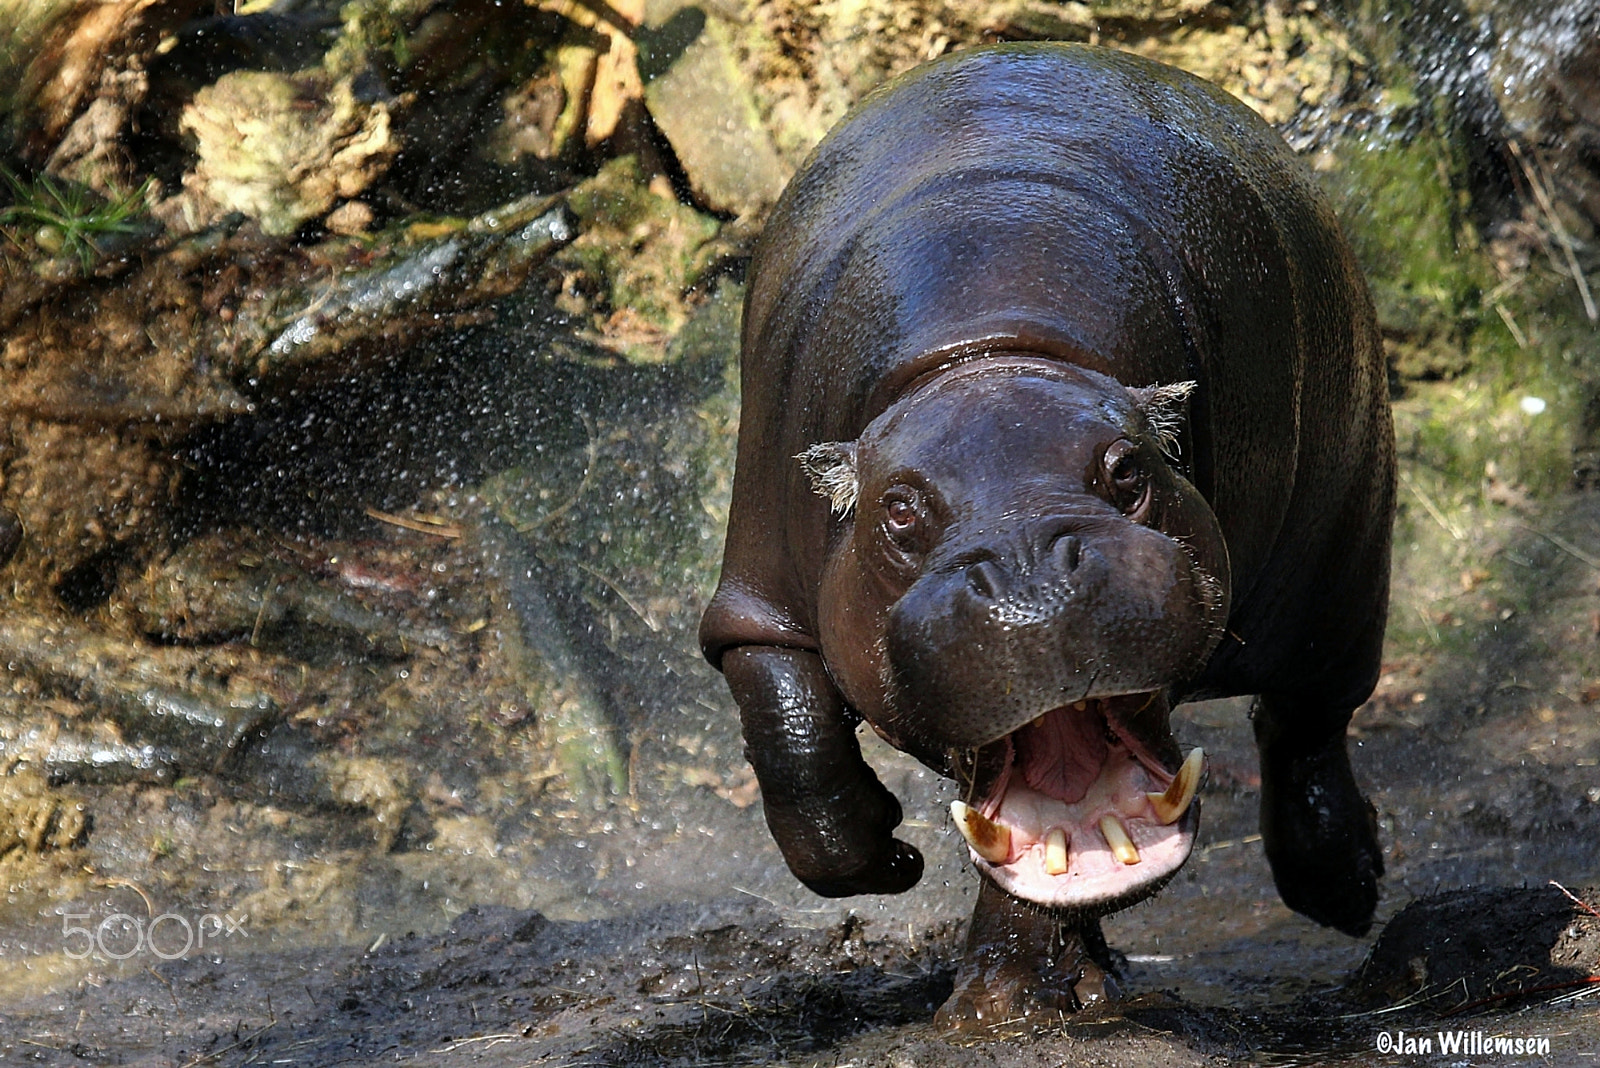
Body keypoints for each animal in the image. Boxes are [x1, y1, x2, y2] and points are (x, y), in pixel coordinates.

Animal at [697, 41, 1388, 1023]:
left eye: (1128, 470)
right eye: (897, 510)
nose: (1036, 587)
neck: (986, 352)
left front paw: (1002, 1004)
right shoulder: (758, 599)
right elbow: (795, 757)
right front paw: (892, 860)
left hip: (1346, 544)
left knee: (1311, 717)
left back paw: (1347, 891)